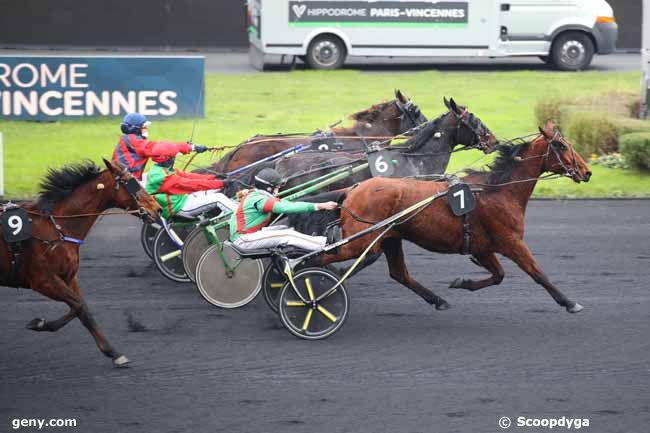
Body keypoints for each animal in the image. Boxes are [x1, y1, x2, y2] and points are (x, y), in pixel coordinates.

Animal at [0, 160, 161, 366]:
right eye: (131, 183)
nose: (157, 209)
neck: (56, 228)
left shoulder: (68, 277)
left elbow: (83, 309)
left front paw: (113, 352)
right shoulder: (42, 280)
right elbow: (78, 306)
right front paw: (40, 323)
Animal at [318, 121, 592, 314]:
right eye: (561, 146)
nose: (587, 172)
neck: (498, 190)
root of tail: (353, 189)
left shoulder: (483, 246)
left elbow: (499, 275)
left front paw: (463, 282)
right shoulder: (511, 241)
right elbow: (537, 273)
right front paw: (569, 302)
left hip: (390, 237)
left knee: (399, 273)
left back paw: (438, 300)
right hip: (360, 240)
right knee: (323, 257)